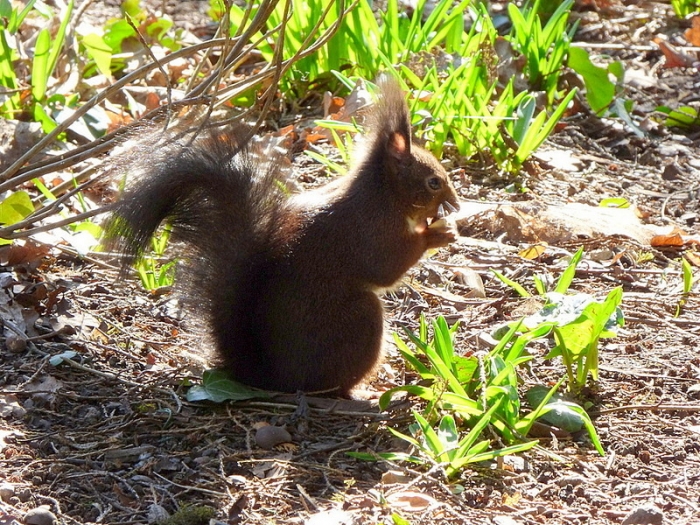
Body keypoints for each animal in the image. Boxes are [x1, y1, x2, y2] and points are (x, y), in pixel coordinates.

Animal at [106, 76, 460, 396]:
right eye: (433, 182)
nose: (455, 203)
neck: (383, 195)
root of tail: (273, 378)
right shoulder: (371, 230)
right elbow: (387, 267)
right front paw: (436, 235)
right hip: (359, 322)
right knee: (332, 387)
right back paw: (360, 394)